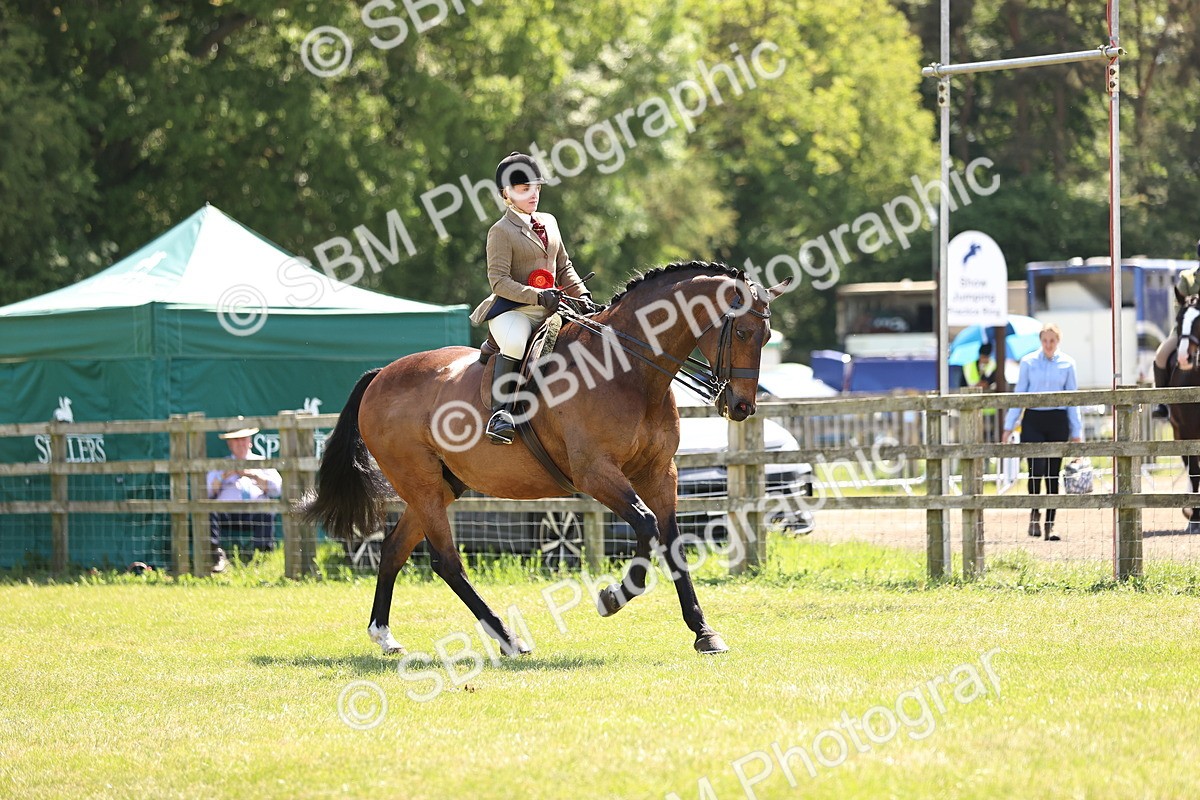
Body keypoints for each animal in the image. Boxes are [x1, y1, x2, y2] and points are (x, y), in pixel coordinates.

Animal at [301, 262, 789, 655]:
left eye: (766, 336)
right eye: (743, 332)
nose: (742, 407)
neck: (630, 371)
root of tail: (381, 374)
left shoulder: (659, 473)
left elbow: (670, 542)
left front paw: (704, 633)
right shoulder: (596, 474)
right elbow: (647, 526)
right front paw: (612, 597)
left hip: (440, 486)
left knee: (394, 550)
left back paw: (384, 635)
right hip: (418, 483)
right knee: (446, 562)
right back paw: (508, 638)